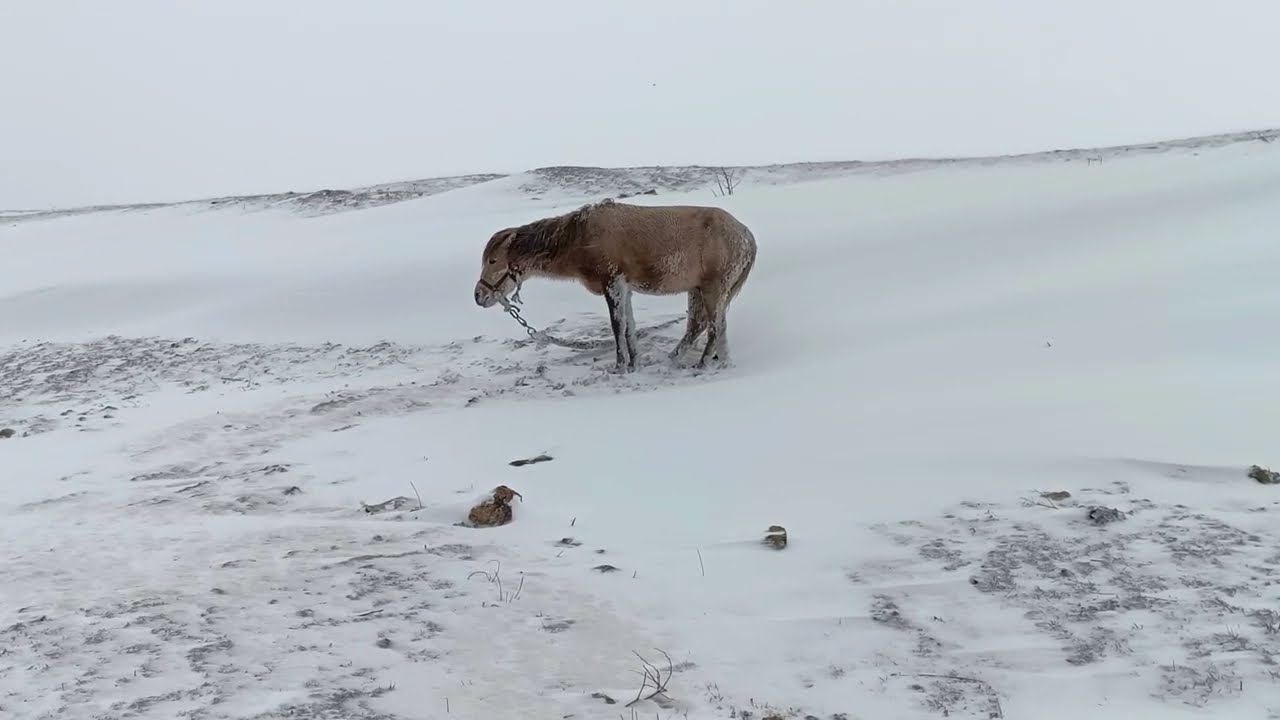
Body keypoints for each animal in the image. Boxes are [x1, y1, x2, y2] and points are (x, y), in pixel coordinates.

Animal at [474, 198, 757, 372]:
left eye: (493, 260)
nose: (479, 295)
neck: (581, 237)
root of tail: (746, 235)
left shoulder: (612, 283)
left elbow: (617, 326)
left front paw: (620, 366)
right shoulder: (625, 288)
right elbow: (629, 327)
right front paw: (634, 363)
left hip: (713, 288)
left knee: (714, 328)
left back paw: (702, 365)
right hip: (698, 290)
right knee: (700, 327)